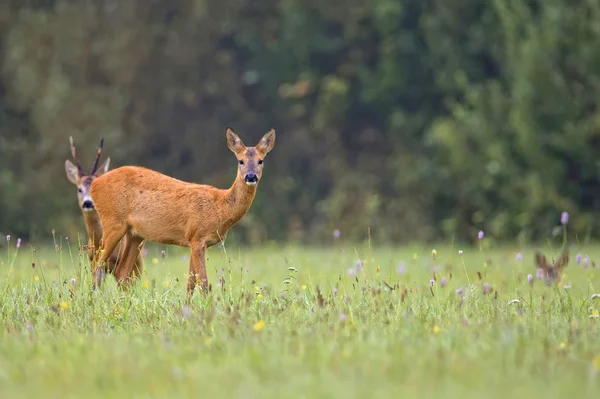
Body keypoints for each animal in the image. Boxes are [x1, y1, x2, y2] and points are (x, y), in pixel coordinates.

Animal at [90, 128, 278, 296]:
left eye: (261, 161)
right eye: (240, 161)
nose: (251, 176)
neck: (221, 207)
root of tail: (94, 185)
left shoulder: (193, 241)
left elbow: (191, 282)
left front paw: (188, 307)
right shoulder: (197, 237)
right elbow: (203, 282)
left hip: (135, 234)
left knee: (121, 271)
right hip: (113, 222)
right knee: (97, 265)